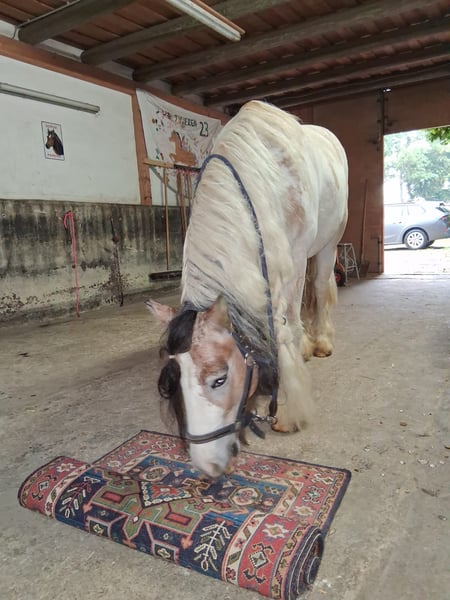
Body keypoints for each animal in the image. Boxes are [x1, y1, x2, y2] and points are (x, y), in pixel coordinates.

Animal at [147, 101, 348, 478]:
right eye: (176, 380)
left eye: (219, 379)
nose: (208, 465)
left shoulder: (293, 261)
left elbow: (286, 324)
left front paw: (289, 410)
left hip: (328, 243)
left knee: (319, 287)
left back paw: (322, 343)